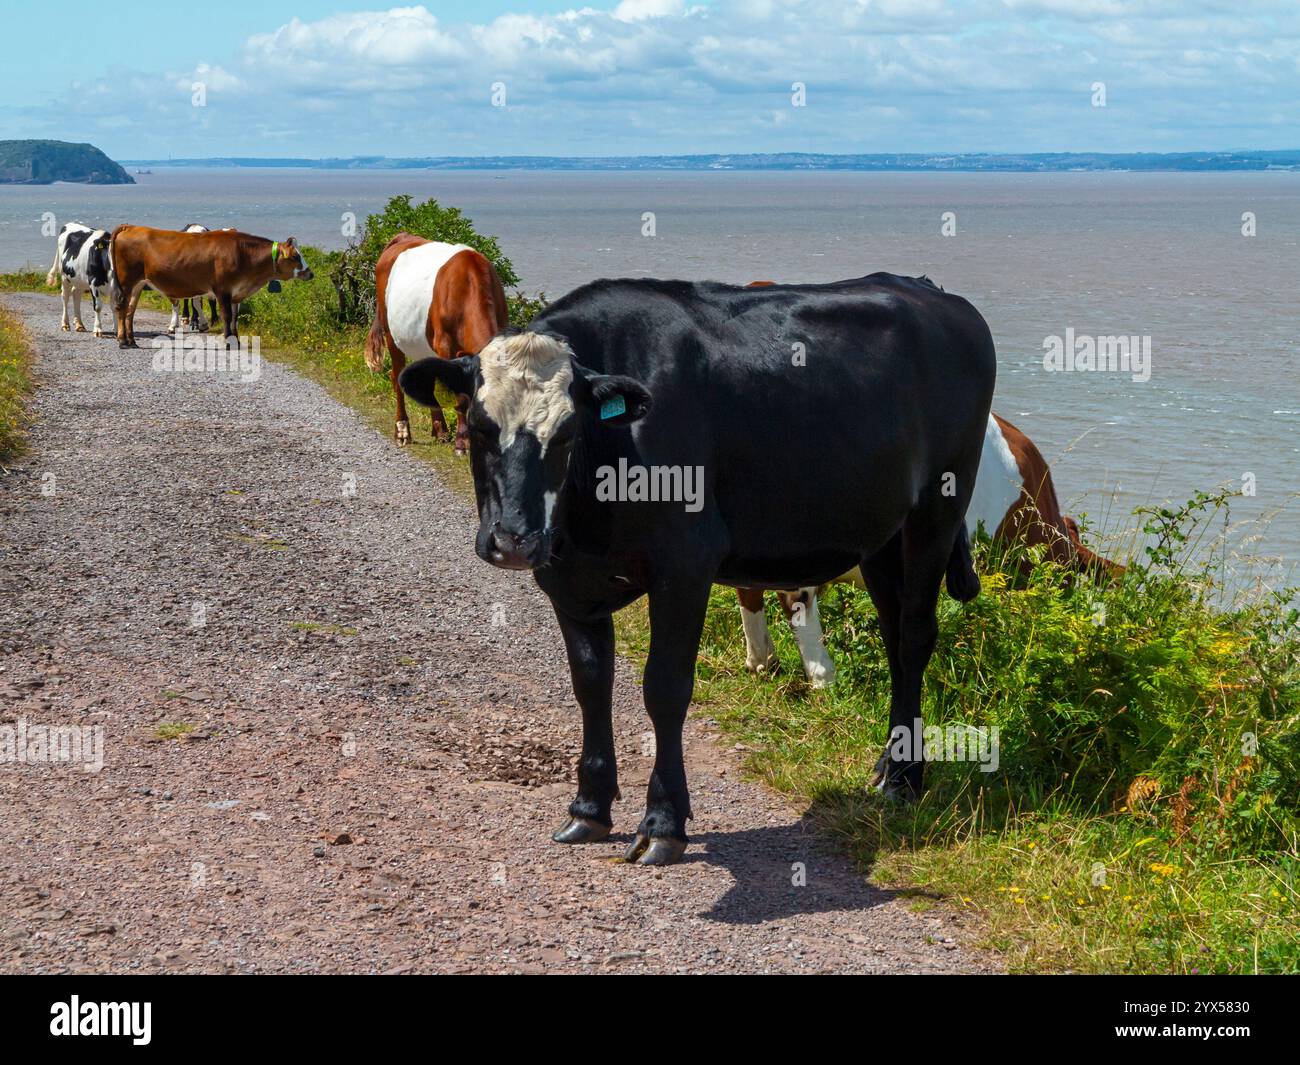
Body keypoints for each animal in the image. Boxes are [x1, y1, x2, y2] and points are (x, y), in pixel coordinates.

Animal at [110, 227, 313, 348]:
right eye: (295, 256)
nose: (310, 273)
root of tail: (130, 227)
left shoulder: (236, 293)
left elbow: (235, 317)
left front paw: (236, 340)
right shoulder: (222, 290)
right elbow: (226, 316)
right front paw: (228, 341)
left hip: (138, 284)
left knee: (130, 311)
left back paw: (131, 340)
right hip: (126, 282)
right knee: (122, 308)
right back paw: (122, 340)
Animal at [366, 235, 512, 452]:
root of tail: (402, 236)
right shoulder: (445, 345)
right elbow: (459, 398)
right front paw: (463, 443)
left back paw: (440, 430)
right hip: (390, 331)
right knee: (396, 376)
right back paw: (402, 431)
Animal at [400, 274, 998, 868]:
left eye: (567, 432)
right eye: (479, 425)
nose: (515, 540)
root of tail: (930, 291)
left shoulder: (685, 565)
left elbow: (664, 688)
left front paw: (663, 822)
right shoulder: (567, 579)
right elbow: (590, 683)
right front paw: (589, 808)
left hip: (938, 507)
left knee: (915, 635)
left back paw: (903, 780)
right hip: (879, 535)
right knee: (895, 637)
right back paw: (888, 764)